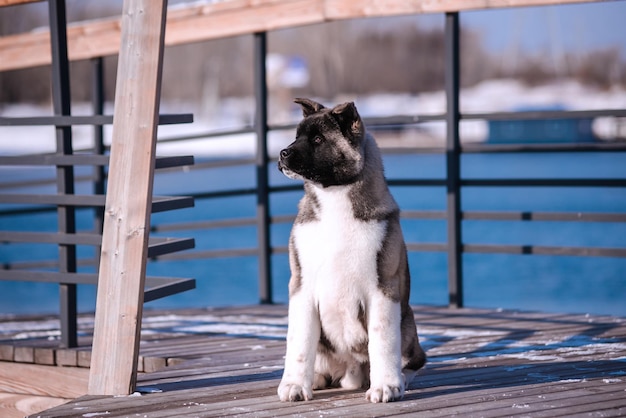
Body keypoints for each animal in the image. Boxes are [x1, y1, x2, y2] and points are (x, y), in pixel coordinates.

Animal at [276, 97, 424, 402]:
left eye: (318, 139)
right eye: (297, 136)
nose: (283, 153)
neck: (334, 199)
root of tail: (349, 372)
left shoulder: (383, 289)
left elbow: (382, 341)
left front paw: (386, 387)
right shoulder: (301, 287)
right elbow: (299, 342)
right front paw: (295, 385)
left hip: (407, 327)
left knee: (413, 360)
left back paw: (400, 379)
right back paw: (316, 379)